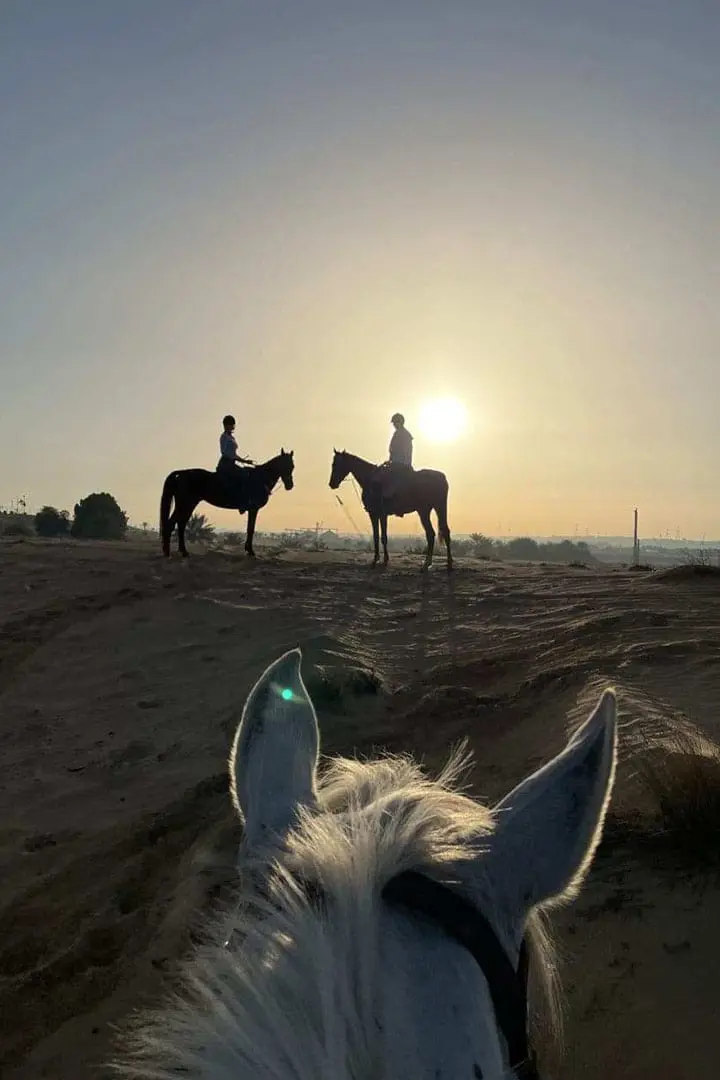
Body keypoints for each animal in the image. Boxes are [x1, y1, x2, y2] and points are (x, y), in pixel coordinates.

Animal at [159, 450, 294, 558]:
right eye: (285, 464)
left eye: (292, 466)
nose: (290, 486)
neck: (260, 478)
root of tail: (181, 473)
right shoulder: (253, 509)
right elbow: (250, 529)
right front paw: (250, 551)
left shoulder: (252, 509)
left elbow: (249, 529)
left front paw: (248, 550)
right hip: (184, 504)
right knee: (172, 524)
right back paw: (169, 552)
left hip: (189, 504)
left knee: (181, 525)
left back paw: (182, 552)